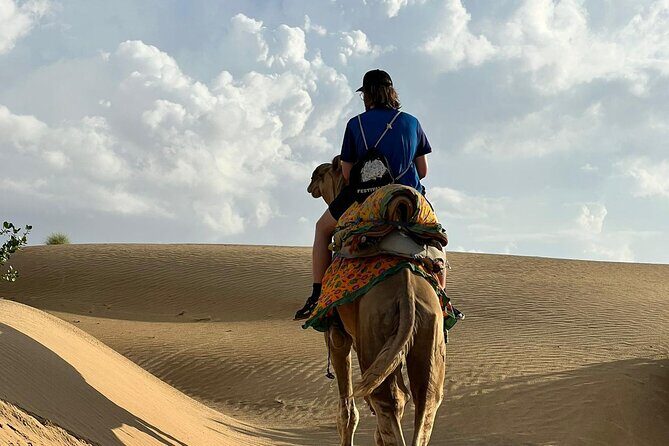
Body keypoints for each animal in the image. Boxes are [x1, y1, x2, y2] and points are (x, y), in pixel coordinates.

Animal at [307, 156, 446, 446]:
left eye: (321, 173)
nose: (310, 183)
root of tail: (407, 294)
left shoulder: (338, 336)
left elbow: (347, 411)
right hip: (427, 333)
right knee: (424, 399)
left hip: (374, 330)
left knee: (386, 399)